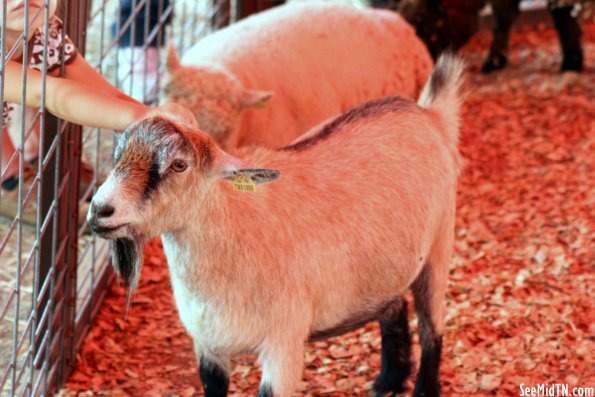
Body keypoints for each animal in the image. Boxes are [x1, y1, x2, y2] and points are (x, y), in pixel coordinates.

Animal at [88, 55, 466, 396]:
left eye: (179, 165)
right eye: (118, 155)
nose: (100, 210)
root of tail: (428, 112)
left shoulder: (283, 345)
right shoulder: (208, 346)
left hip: (439, 247)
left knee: (432, 328)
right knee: (394, 306)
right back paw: (389, 381)